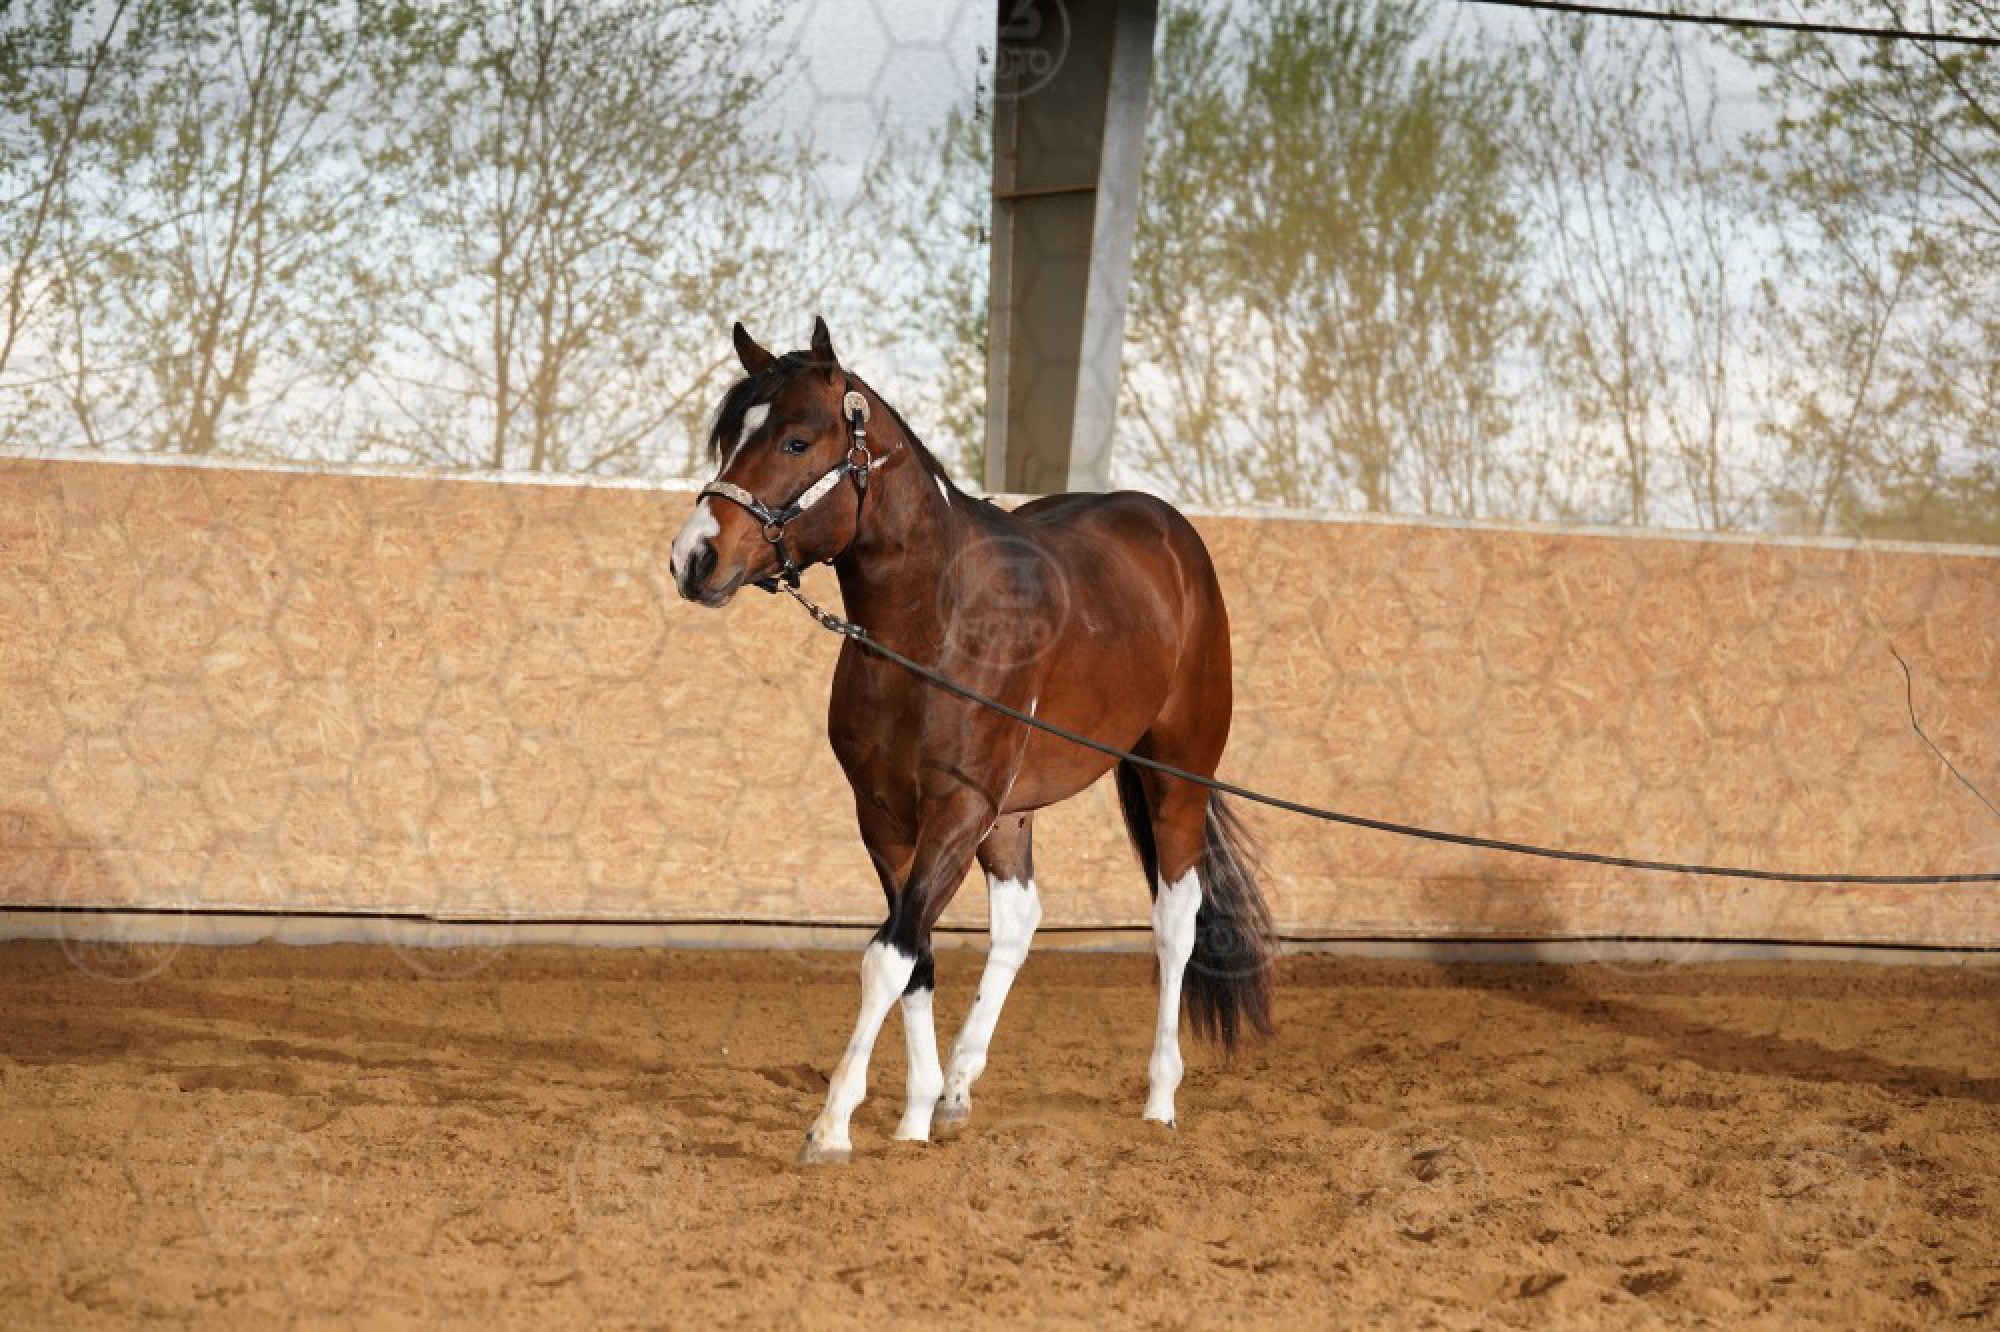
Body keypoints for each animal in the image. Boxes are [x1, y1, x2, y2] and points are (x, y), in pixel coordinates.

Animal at [670, 318, 1274, 1164]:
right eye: (728, 438)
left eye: (795, 441)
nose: (693, 558)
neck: (934, 627)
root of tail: (1171, 534)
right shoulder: (885, 817)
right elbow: (914, 953)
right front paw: (918, 1112)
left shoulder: (958, 808)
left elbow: (888, 954)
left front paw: (832, 1124)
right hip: (1014, 810)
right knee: (1020, 918)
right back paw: (958, 1087)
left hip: (1176, 775)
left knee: (1175, 920)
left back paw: (1159, 1099)